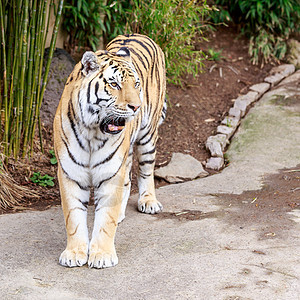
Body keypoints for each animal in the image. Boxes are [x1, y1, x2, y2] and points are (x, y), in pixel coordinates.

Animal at [53, 34, 166, 268]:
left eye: (136, 84)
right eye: (114, 84)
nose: (136, 107)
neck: (91, 132)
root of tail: (139, 34)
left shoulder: (110, 173)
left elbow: (105, 219)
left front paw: (102, 255)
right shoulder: (70, 173)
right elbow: (73, 218)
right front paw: (74, 253)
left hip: (147, 136)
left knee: (146, 171)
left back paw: (149, 201)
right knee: (128, 180)